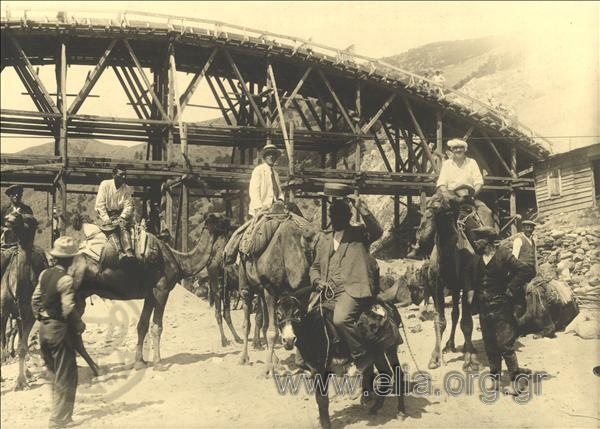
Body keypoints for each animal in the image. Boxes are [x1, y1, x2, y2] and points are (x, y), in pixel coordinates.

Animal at [0, 212, 48, 390]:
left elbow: (23, 345)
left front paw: (21, 380)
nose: (8, 218)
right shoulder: (3, 310)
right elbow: (4, 340)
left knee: (23, 339)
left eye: (29, 220)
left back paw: (27, 373)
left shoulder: (29, 313)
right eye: (13, 212)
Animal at [69, 212, 220, 370]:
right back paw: (95, 369)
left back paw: (95, 368)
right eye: (221, 220)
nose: (230, 224)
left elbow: (142, 325)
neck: (179, 261)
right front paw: (158, 363)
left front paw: (140, 362)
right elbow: (157, 327)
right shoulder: (162, 289)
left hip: (79, 298)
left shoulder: (150, 294)